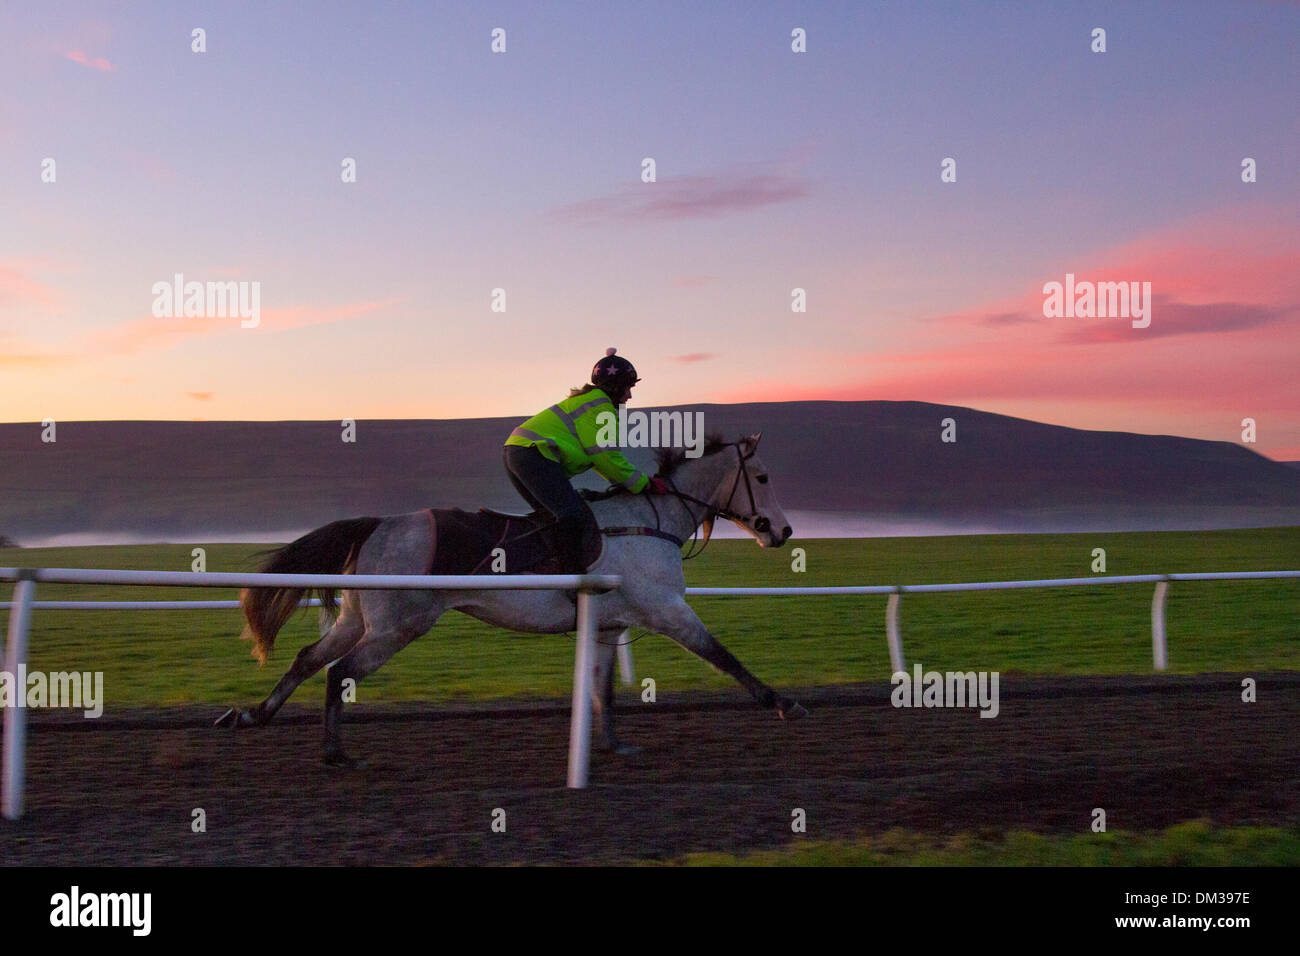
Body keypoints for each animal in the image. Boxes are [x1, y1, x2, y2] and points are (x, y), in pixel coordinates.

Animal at [215, 429, 800, 764]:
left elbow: (602, 691)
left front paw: (613, 745)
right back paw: (335, 753)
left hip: (361, 619)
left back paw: (251, 716)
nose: (783, 531)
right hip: (398, 627)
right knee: (340, 674)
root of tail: (380, 524)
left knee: (307, 659)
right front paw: (782, 702)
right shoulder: (668, 611)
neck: (650, 521)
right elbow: (723, 656)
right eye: (762, 476)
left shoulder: (610, 624)